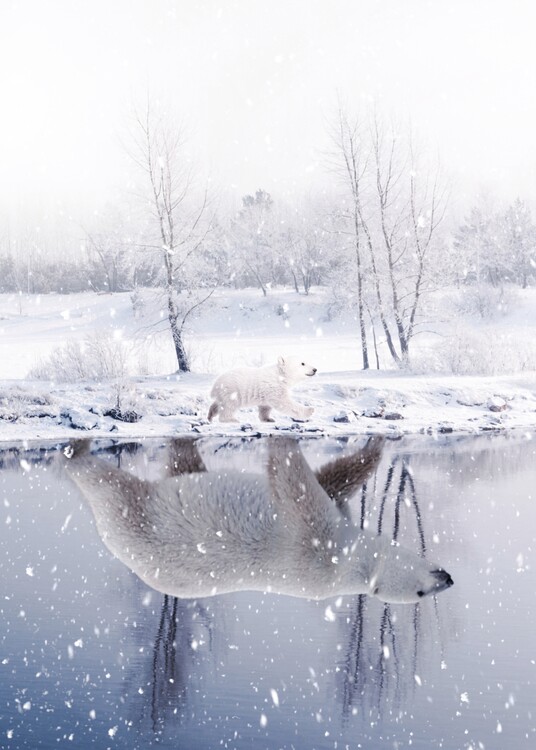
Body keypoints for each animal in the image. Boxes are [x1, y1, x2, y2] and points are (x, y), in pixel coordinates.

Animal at [64, 436, 453, 603]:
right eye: (421, 592)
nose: (447, 579)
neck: (347, 567)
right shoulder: (326, 532)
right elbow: (323, 480)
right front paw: (376, 440)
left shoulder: (313, 547)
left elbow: (298, 484)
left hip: (135, 522)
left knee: (111, 486)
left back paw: (77, 450)